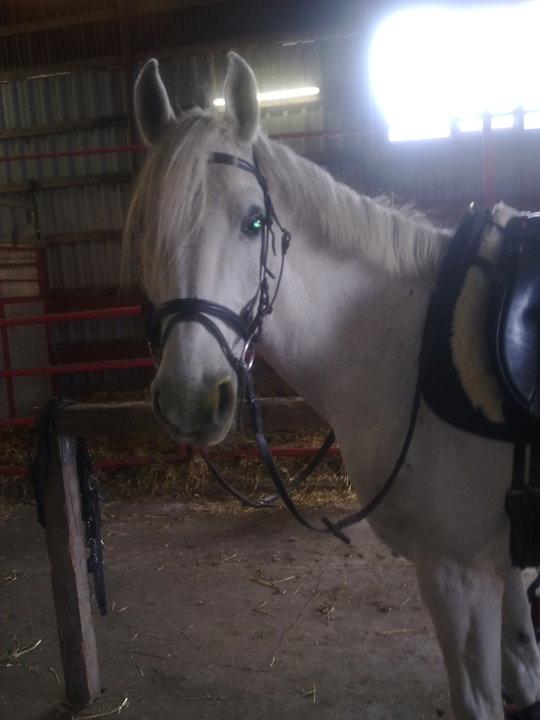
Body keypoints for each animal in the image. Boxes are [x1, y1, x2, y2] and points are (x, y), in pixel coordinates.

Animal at [124, 51, 540, 720]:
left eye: (255, 221)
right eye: (145, 231)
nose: (190, 399)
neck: (410, 345)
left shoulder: (460, 573)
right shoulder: (502, 569)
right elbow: (524, 675)